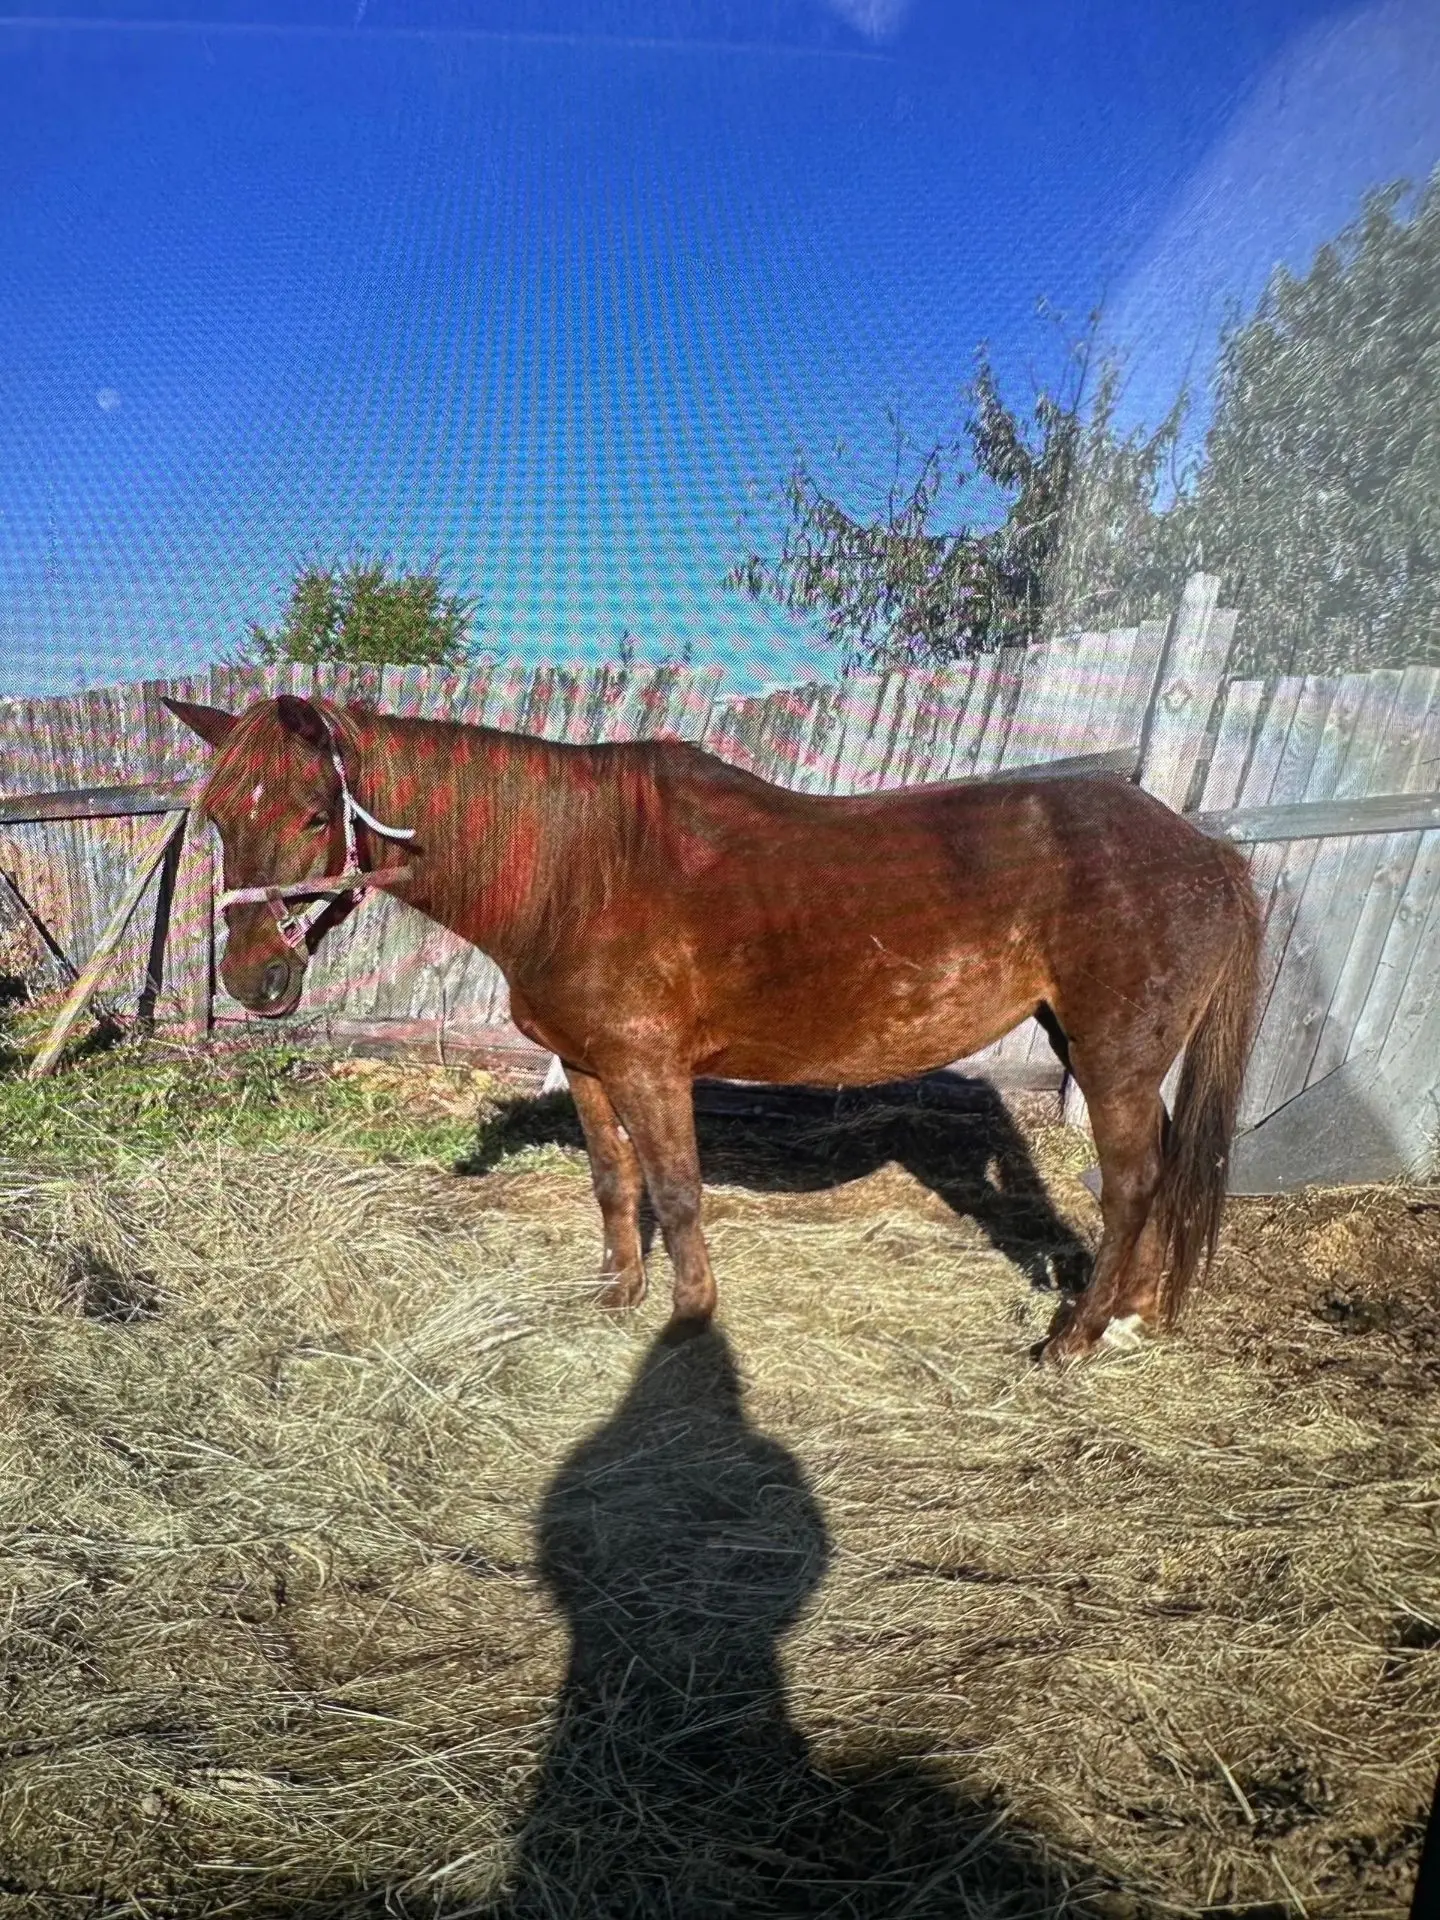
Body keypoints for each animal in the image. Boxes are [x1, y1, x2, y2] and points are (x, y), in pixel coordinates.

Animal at [164, 691, 1261, 1363]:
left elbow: (680, 1195)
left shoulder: (651, 1070)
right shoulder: (589, 1066)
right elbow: (616, 1188)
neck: (582, 871)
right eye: (217, 816)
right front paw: (618, 1296)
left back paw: (1072, 1339)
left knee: (1131, 1183)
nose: (256, 978)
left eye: (316, 814)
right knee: (1157, 1170)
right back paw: (1130, 1319)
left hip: (1114, 1057)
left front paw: (688, 1324)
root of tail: (1205, 848)